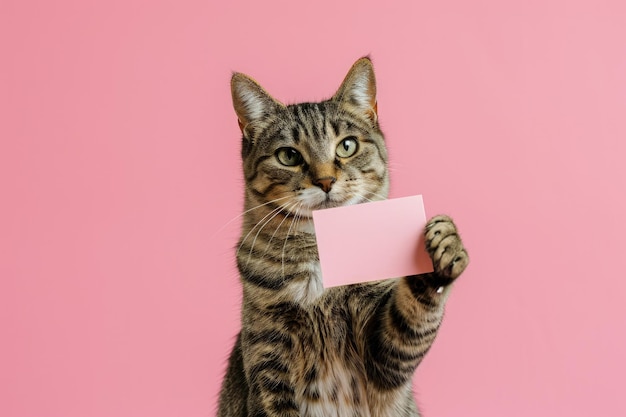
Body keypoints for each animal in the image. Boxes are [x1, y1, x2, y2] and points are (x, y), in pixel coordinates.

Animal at [217, 56, 466, 416]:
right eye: (288, 156)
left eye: (347, 146)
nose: (325, 180)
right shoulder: (268, 356)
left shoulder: (382, 358)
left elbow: (410, 316)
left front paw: (442, 247)